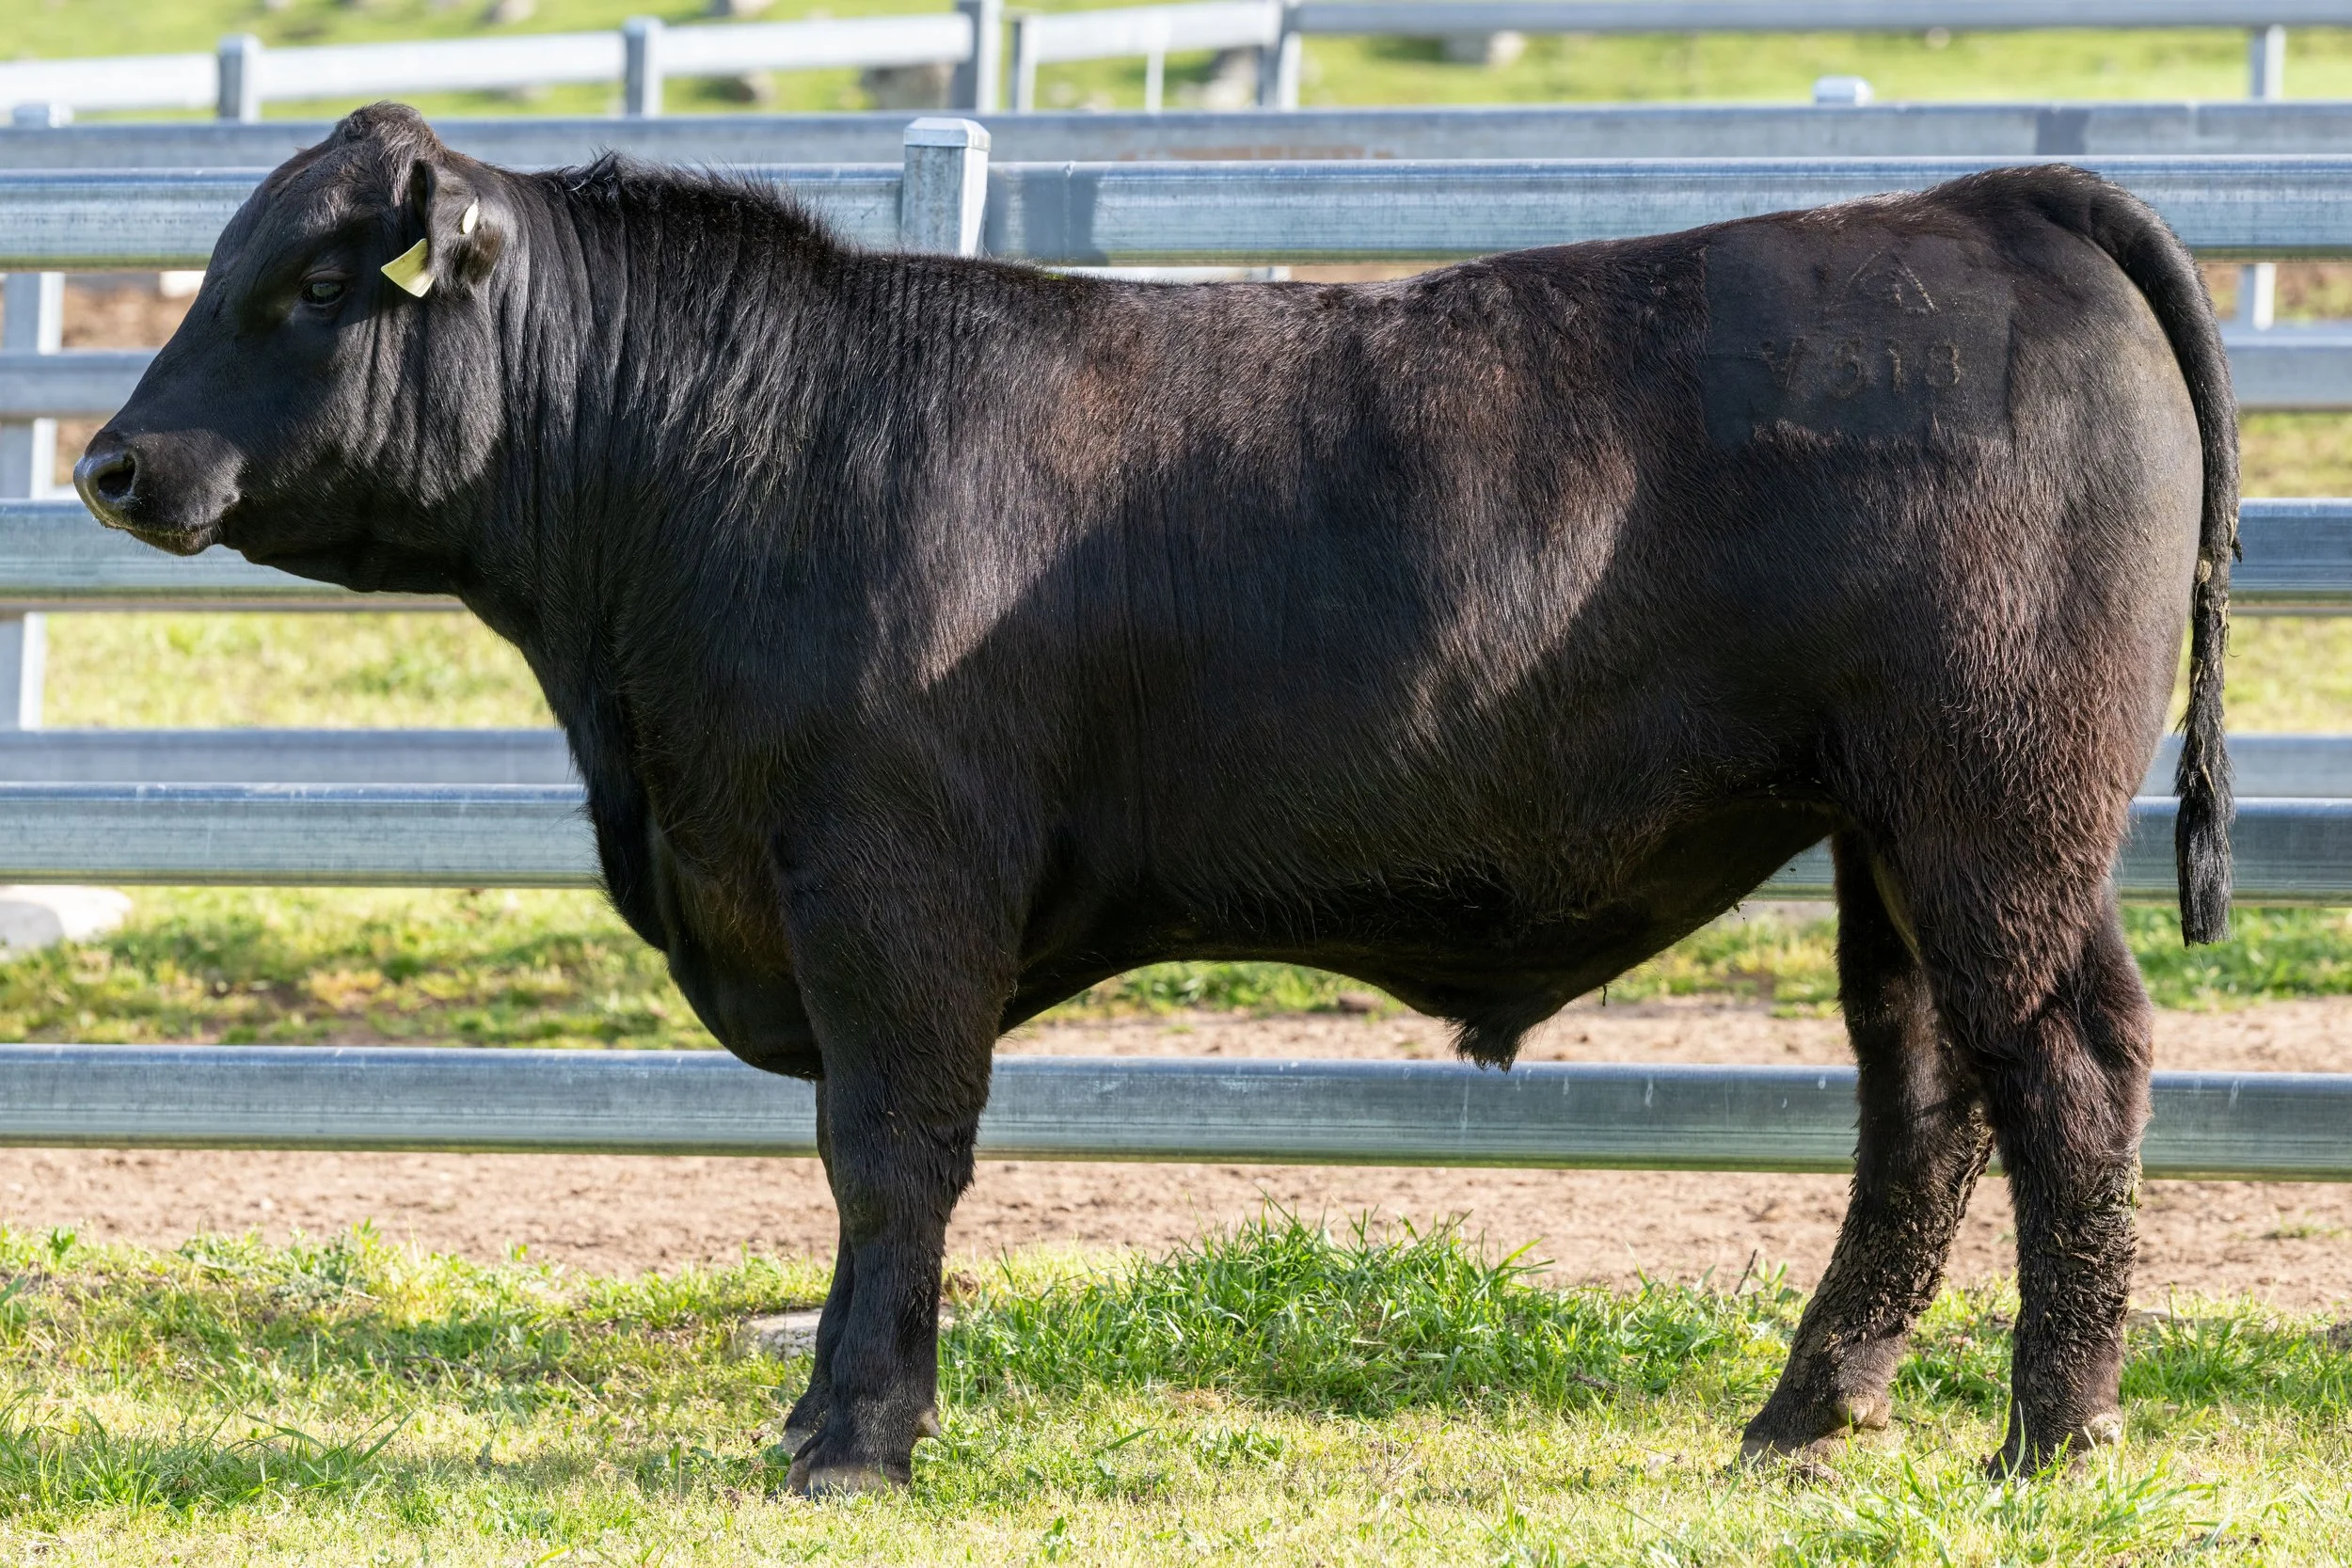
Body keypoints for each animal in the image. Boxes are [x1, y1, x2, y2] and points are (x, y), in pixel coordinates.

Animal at [75, 104, 2234, 1492]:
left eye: (311, 283)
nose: (111, 460)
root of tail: (1978, 202)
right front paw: (833, 1414)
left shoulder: (890, 882)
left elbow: (888, 1151)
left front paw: (855, 1433)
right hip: (1893, 827)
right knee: (1920, 1087)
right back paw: (1805, 1413)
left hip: (1995, 803)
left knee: (2064, 1074)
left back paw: (2052, 1434)